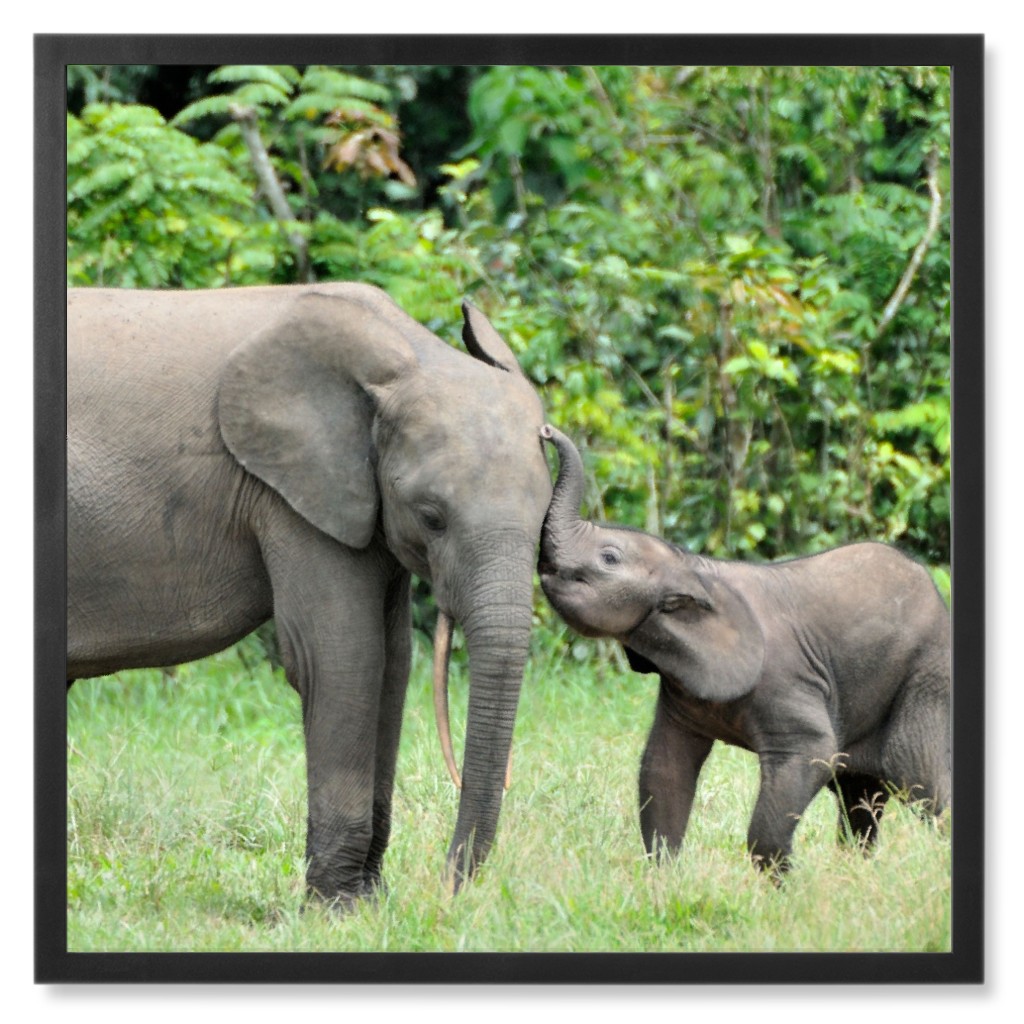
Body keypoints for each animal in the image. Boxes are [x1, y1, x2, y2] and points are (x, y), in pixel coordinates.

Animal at [67, 282, 553, 908]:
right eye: (432, 517)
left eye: (546, 516)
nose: (449, 887)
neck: (405, 354)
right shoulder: (291, 493)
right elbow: (343, 658)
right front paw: (337, 910)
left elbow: (393, 665)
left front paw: (371, 904)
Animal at [537, 425, 950, 875]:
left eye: (609, 558)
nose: (546, 431)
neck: (694, 567)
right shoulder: (683, 690)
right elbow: (664, 769)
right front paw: (664, 879)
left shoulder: (786, 682)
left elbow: (811, 752)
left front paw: (782, 884)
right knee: (859, 796)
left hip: (925, 678)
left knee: (921, 780)